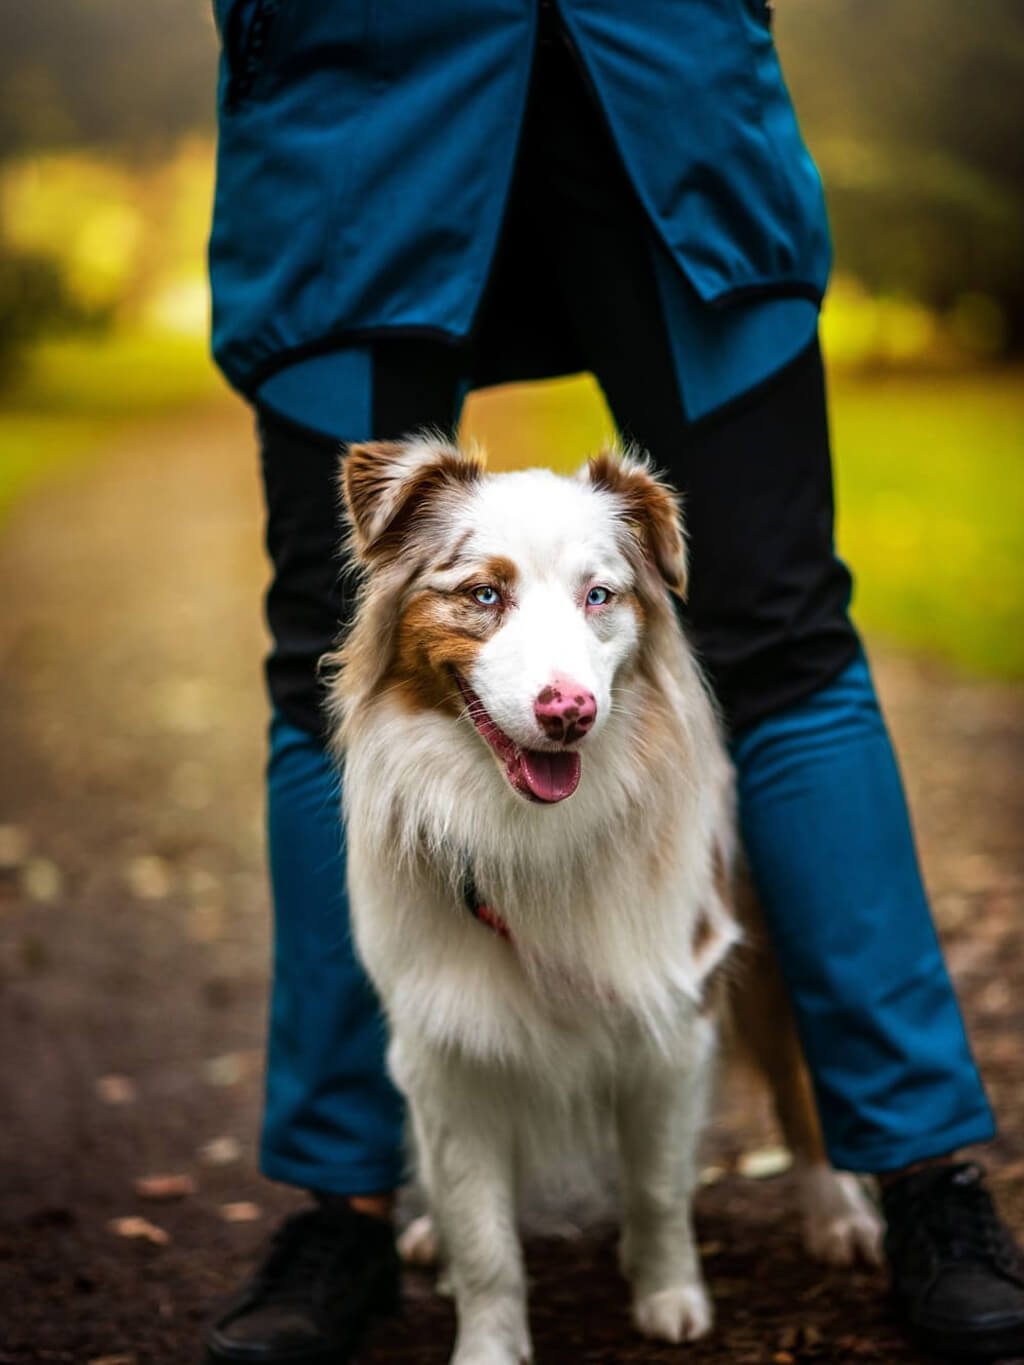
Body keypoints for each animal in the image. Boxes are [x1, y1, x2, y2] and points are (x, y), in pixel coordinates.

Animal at [329, 436, 884, 1365]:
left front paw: (669, 1297)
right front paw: (486, 1337)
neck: (527, 834)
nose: (570, 712)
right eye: (484, 594)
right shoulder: (444, 1047)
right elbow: (483, 1234)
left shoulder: (674, 1012)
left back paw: (836, 1211)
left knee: (799, 1082)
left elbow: (657, 1186)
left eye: (600, 595)